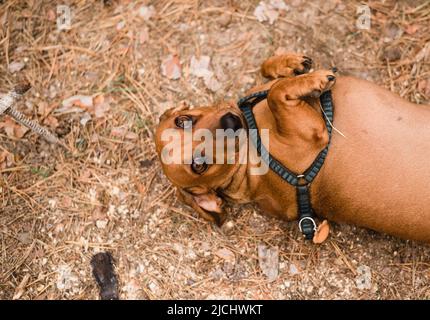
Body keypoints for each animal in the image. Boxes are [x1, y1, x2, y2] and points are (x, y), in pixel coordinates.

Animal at [155, 52, 430, 242]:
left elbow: (270, 76)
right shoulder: (311, 135)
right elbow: (276, 93)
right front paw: (314, 80)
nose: (229, 122)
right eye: (198, 165)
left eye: (183, 120)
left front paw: (288, 63)